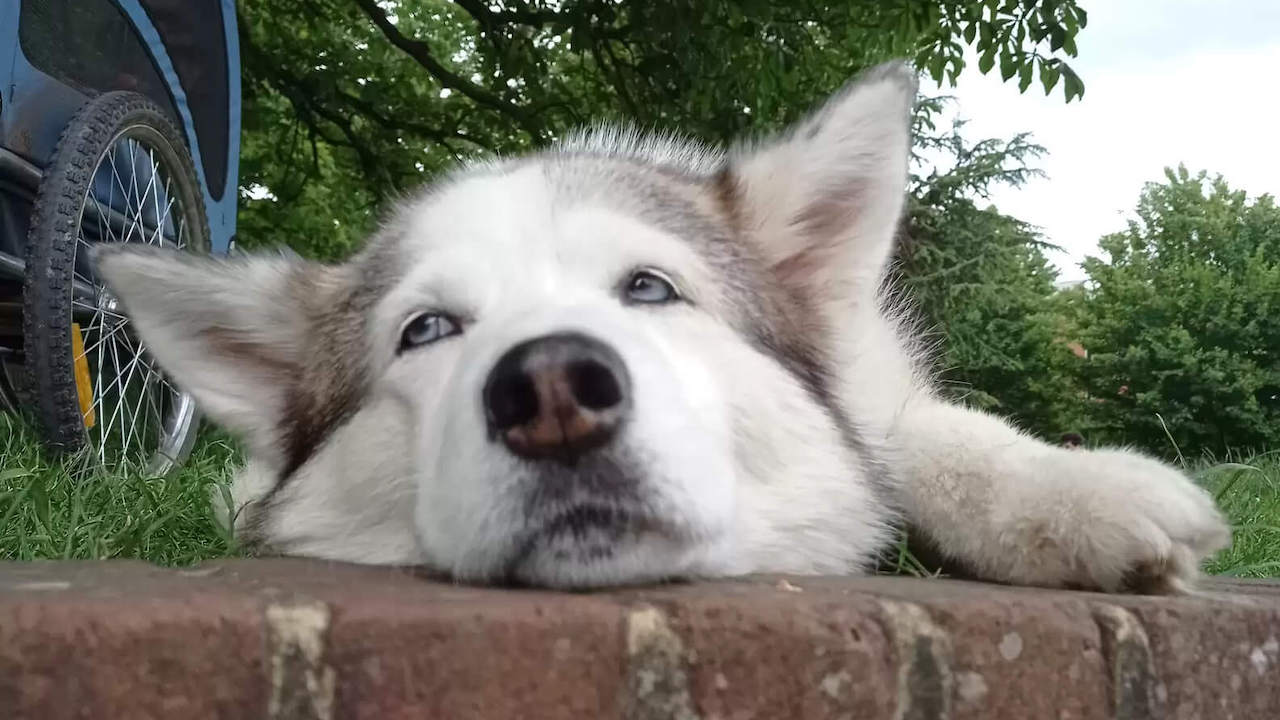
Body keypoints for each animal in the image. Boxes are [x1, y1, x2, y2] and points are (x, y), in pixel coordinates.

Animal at [94, 63, 1223, 589]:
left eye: (648, 288)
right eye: (425, 331)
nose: (552, 392)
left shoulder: (879, 388)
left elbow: (942, 439)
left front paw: (1080, 496)